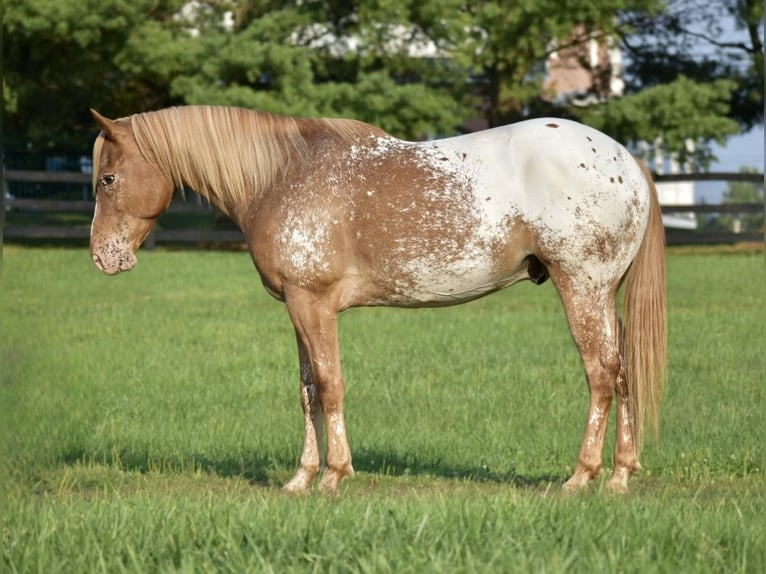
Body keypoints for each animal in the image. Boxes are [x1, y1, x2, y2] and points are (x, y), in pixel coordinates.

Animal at [88, 106, 664, 498]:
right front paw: (301, 477)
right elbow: (307, 391)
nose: (101, 257)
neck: (283, 176)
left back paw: (581, 477)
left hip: (581, 287)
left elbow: (330, 385)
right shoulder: (297, 308)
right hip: (604, 296)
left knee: (600, 374)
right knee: (621, 373)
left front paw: (334, 476)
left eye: (108, 178)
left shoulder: (313, 304)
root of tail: (626, 159)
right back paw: (620, 475)